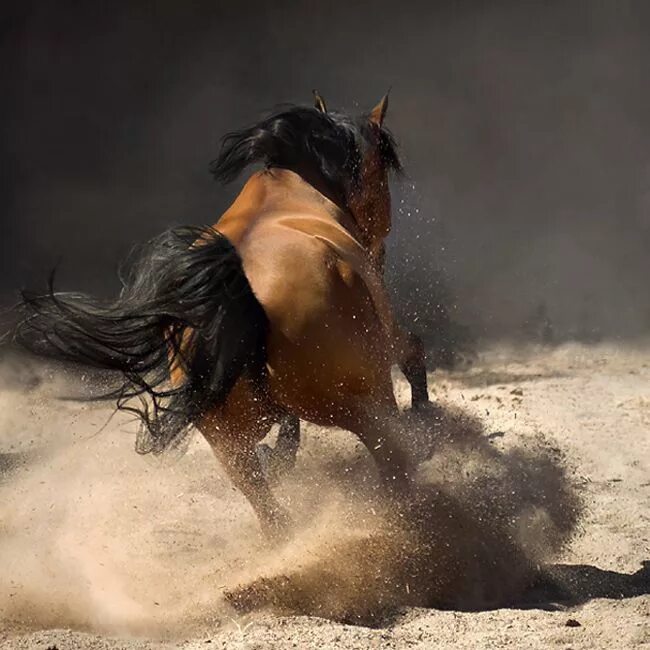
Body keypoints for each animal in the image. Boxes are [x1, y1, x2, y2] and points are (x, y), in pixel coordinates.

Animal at [13, 92, 430, 536]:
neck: (292, 191)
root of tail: (243, 295)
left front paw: (281, 455)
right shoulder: (385, 335)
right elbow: (413, 351)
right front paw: (427, 418)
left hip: (231, 447)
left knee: (270, 511)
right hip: (363, 404)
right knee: (393, 466)